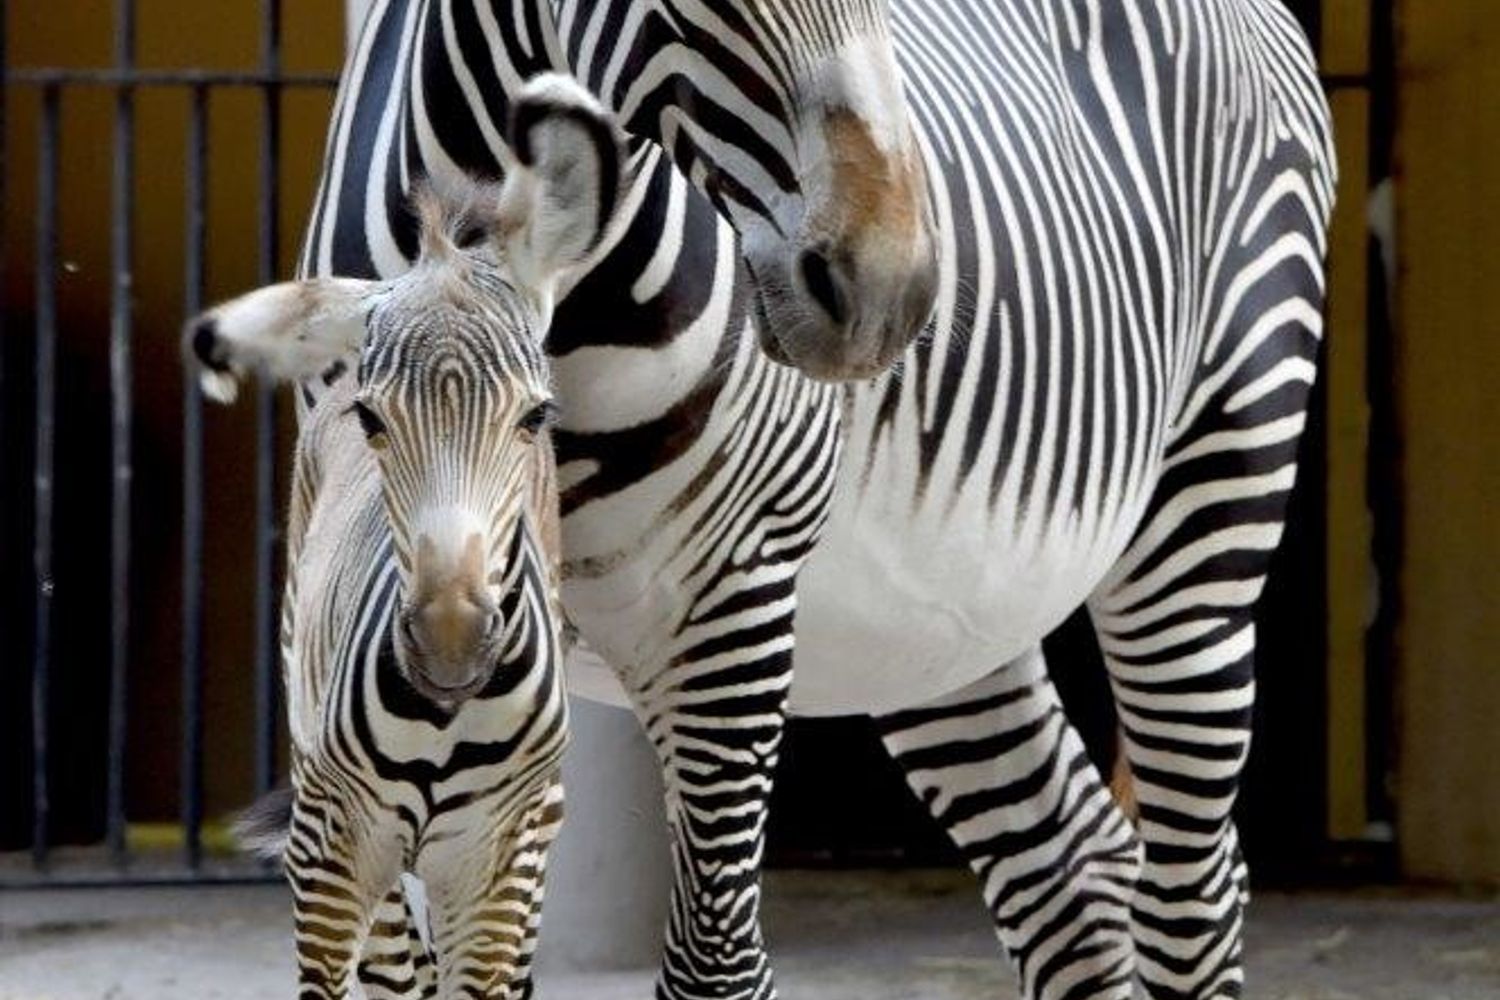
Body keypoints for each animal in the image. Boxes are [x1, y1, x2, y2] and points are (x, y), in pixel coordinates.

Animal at [290, 1, 1337, 998]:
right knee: (1076, 868)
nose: (893, 290)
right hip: (935, 624)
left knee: (1192, 894)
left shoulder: (729, 605)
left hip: (1212, 498)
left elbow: (716, 966)